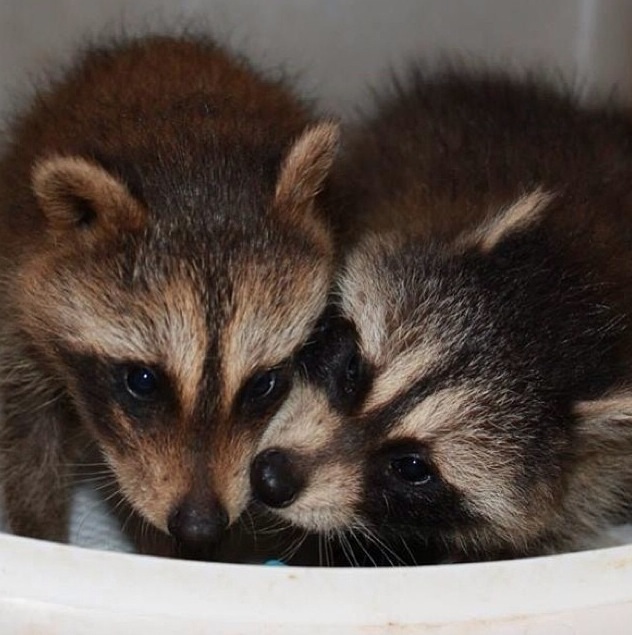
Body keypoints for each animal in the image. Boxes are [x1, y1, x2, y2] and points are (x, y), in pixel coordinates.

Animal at [0, 34, 340, 560]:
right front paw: (42, 537)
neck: (191, 157)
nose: (200, 527)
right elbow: (28, 442)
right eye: (142, 380)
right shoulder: (18, 308)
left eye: (263, 384)